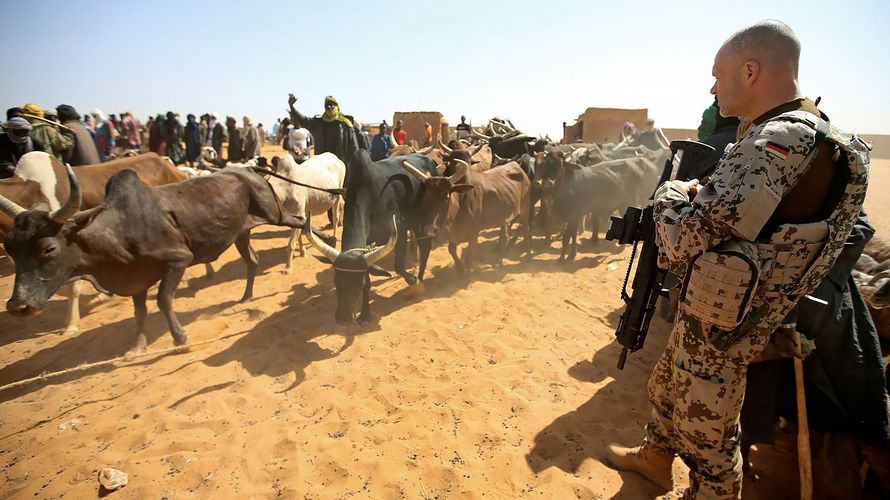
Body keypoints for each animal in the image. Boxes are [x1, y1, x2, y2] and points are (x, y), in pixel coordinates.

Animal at [0, 166, 320, 354]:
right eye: (10, 248)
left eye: (48, 249)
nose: (18, 306)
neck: (118, 230)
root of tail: (252, 172)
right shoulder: (137, 278)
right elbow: (139, 312)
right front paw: (137, 347)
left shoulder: (177, 261)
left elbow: (164, 300)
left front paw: (181, 339)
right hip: (242, 234)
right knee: (252, 262)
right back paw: (246, 297)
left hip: (275, 215)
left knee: (299, 221)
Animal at [302, 152, 440, 324]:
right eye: (335, 280)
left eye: (357, 284)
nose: (343, 318)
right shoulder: (366, 248)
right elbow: (369, 279)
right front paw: (365, 314)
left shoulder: (400, 231)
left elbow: (399, 267)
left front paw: (414, 283)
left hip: (420, 222)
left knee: (425, 248)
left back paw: (420, 280)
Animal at [400, 158, 528, 280]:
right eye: (426, 198)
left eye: (446, 197)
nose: (431, 229)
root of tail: (516, 165)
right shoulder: (452, 236)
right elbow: (451, 249)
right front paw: (460, 269)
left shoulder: (474, 233)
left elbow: (470, 255)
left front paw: (466, 278)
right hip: (503, 218)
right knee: (505, 238)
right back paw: (498, 260)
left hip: (524, 208)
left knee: (525, 229)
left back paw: (525, 252)